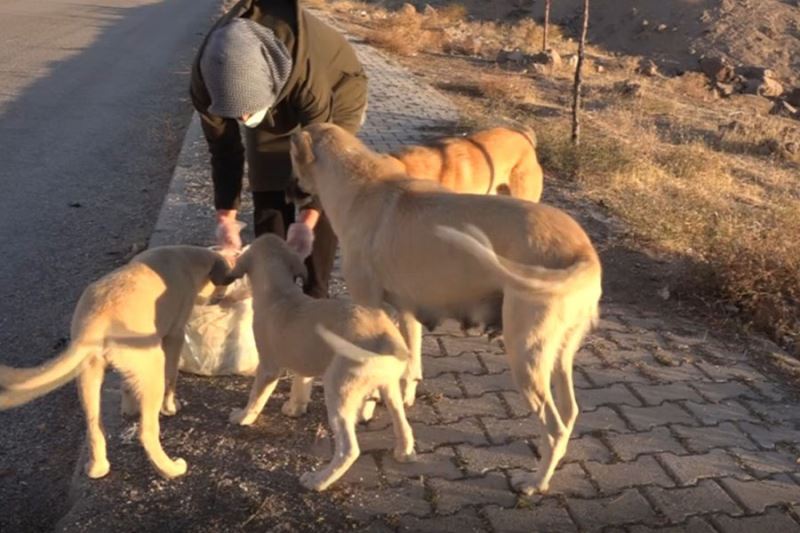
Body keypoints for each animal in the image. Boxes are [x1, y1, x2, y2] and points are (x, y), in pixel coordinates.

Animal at [0, 245, 231, 478]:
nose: (219, 298)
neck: (187, 259)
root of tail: (96, 319)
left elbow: (126, 385)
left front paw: (129, 408)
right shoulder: (175, 336)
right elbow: (172, 376)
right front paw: (170, 406)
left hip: (89, 376)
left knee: (94, 427)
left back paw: (98, 467)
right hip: (153, 368)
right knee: (147, 432)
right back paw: (170, 468)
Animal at [222, 235, 416, 492]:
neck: (279, 293)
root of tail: (386, 337)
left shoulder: (268, 368)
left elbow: (256, 397)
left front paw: (243, 417)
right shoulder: (304, 362)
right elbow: (300, 385)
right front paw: (294, 408)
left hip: (338, 389)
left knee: (348, 450)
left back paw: (318, 480)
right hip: (389, 387)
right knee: (402, 420)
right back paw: (405, 450)